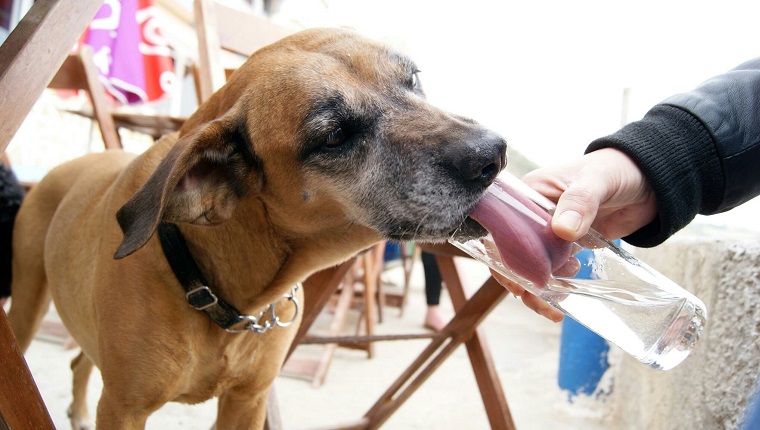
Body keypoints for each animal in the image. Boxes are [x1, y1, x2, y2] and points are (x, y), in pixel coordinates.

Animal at [8, 28, 508, 428]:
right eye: (334, 136)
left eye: (414, 79)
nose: (493, 154)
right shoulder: (124, 409)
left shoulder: (248, 402)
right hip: (27, 302)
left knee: (80, 361)